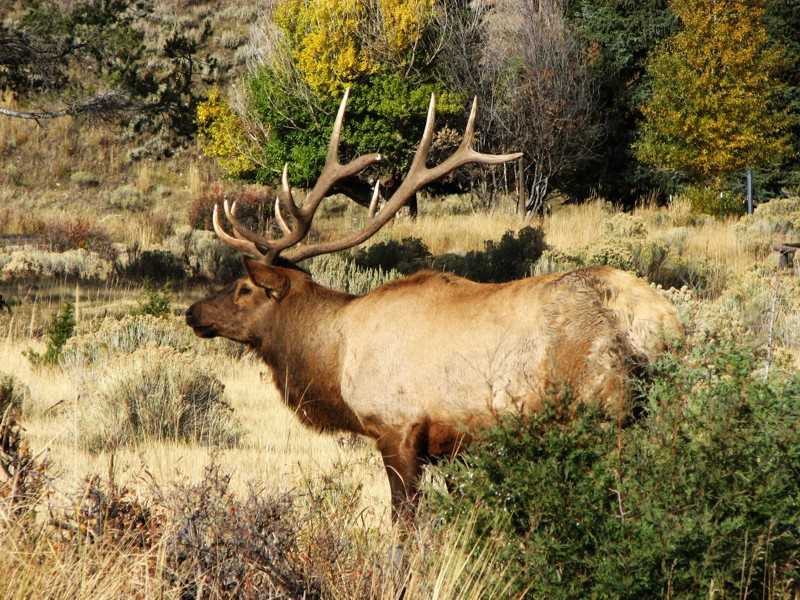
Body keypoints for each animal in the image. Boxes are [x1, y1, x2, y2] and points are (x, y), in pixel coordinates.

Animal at [186, 91, 680, 524]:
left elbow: (404, 523)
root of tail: (653, 322)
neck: (336, 359)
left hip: (605, 409)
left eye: (244, 288)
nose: (193, 312)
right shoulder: (449, 447)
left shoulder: (397, 428)